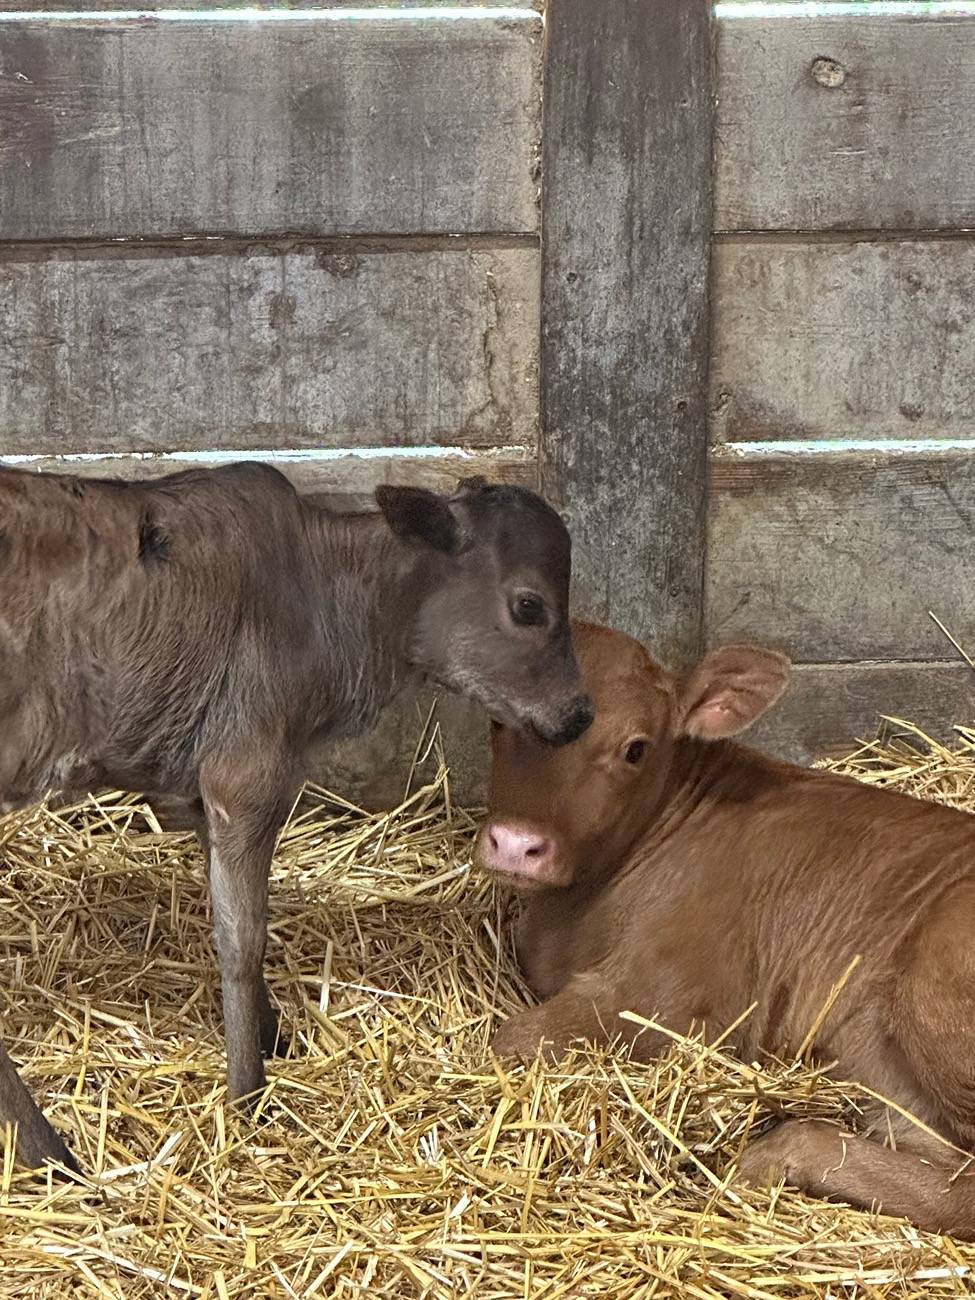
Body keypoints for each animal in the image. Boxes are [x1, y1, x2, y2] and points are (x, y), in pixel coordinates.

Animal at [0, 463, 592, 1173]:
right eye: (529, 606)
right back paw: (45, 1149)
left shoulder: (209, 792)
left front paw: (271, 1035)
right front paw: (247, 1094)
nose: (579, 714)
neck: (319, 599)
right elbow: (242, 940)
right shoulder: (246, 779)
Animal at [475, 621, 975, 1238]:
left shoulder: (676, 999)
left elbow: (513, 1040)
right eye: (500, 720)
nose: (517, 844)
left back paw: (777, 1154)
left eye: (635, 748)